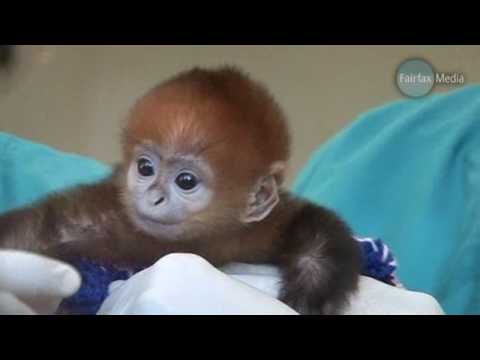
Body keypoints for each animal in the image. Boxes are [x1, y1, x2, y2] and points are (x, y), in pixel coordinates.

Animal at [0, 66, 360, 314]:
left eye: (186, 181)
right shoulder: (101, 220)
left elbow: (315, 229)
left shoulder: (263, 225)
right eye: (145, 168)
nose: (153, 197)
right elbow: (38, 232)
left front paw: (311, 296)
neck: (200, 240)